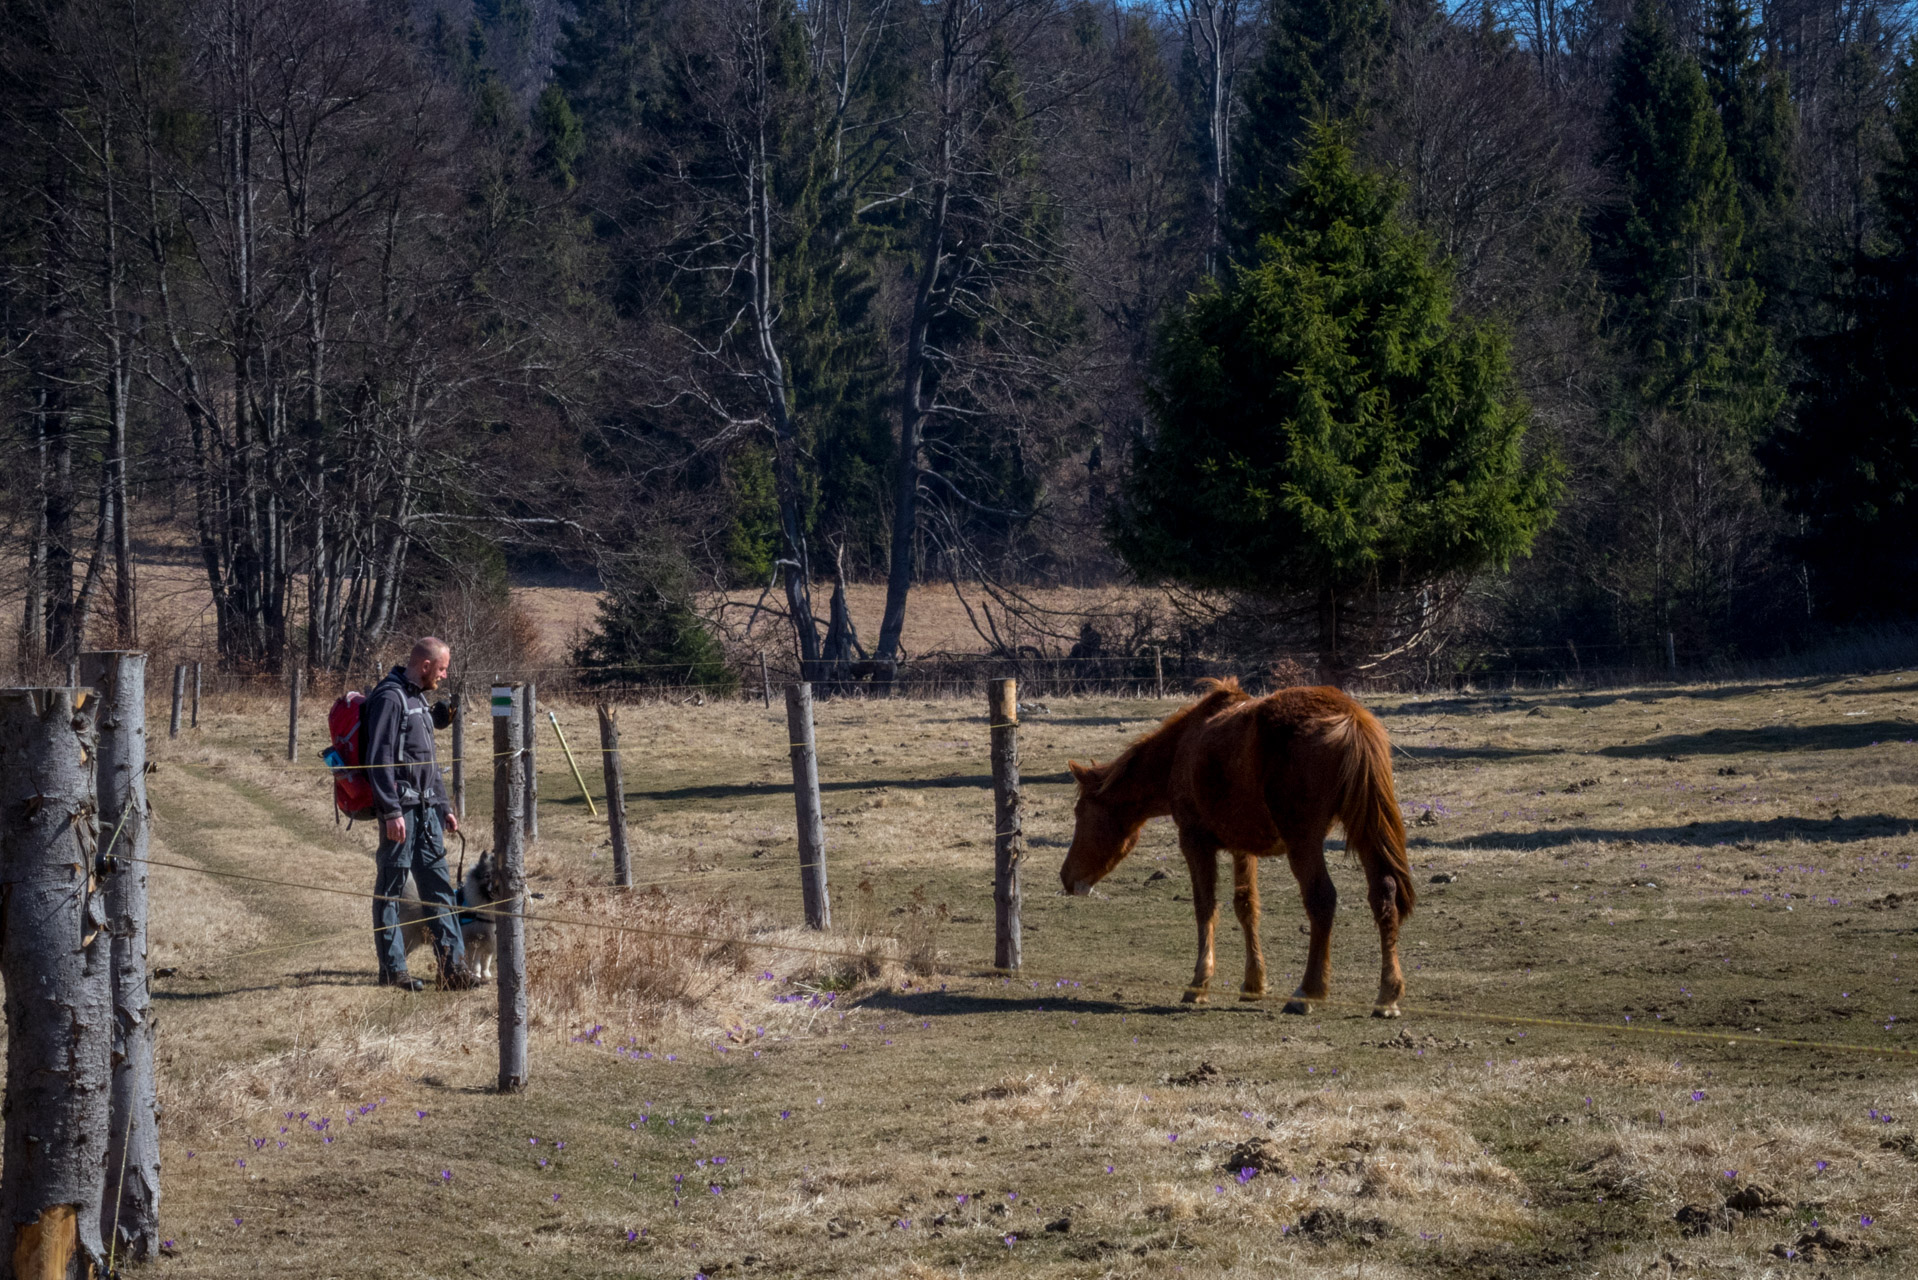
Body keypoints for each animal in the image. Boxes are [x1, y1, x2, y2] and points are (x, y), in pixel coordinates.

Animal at [400, 852, 502, 982]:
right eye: (487, 875)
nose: (494, 887)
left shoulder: (490, 941)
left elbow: (486, 961)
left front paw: (486, 975)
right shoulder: (474, 942)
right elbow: (476, 962)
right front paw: (477, 975)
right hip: (409, 936)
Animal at [1058, 679, 1419, 1020]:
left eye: (1080, 813)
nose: (1065, 877)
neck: (1181, 749)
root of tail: (1350, 718)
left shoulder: (1195, 841)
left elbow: (1205, 907)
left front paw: (1199, 984)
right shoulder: (1242, 847)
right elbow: (1246, 907)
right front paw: (1253, 983)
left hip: (1304, 841)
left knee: (1322, 900)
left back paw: (1306, 993)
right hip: (1365, 831)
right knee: (1383, 894)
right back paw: (1387, 996)